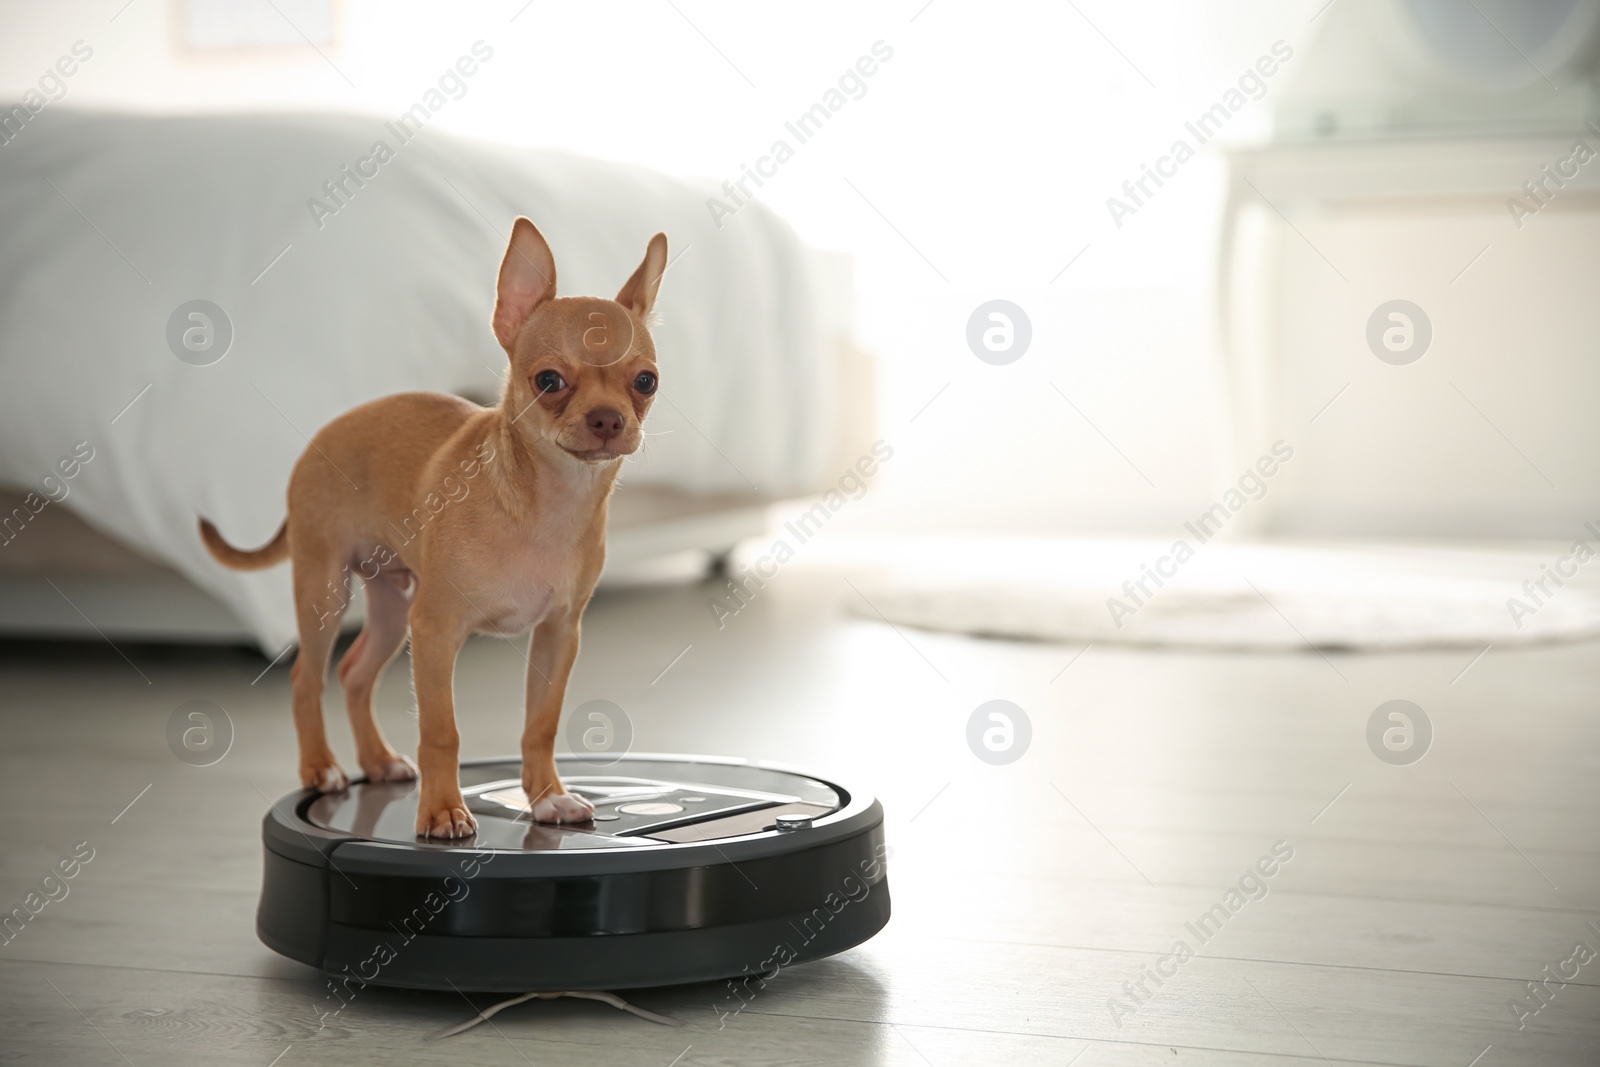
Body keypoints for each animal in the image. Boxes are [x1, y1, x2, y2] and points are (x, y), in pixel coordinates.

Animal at [201, 214, 668, 831]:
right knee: (308, 676)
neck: (547, 505)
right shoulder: (436, 632)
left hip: (392, 604)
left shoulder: (557, 636)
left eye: (646, 382)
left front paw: (547, 797)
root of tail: (321, 436)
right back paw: (321, 767)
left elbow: (540, 725)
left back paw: (377, 760)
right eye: (548, 381)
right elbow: (442, 731)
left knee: (353, 672)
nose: (608, 419)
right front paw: (444, 810)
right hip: (327, 591)